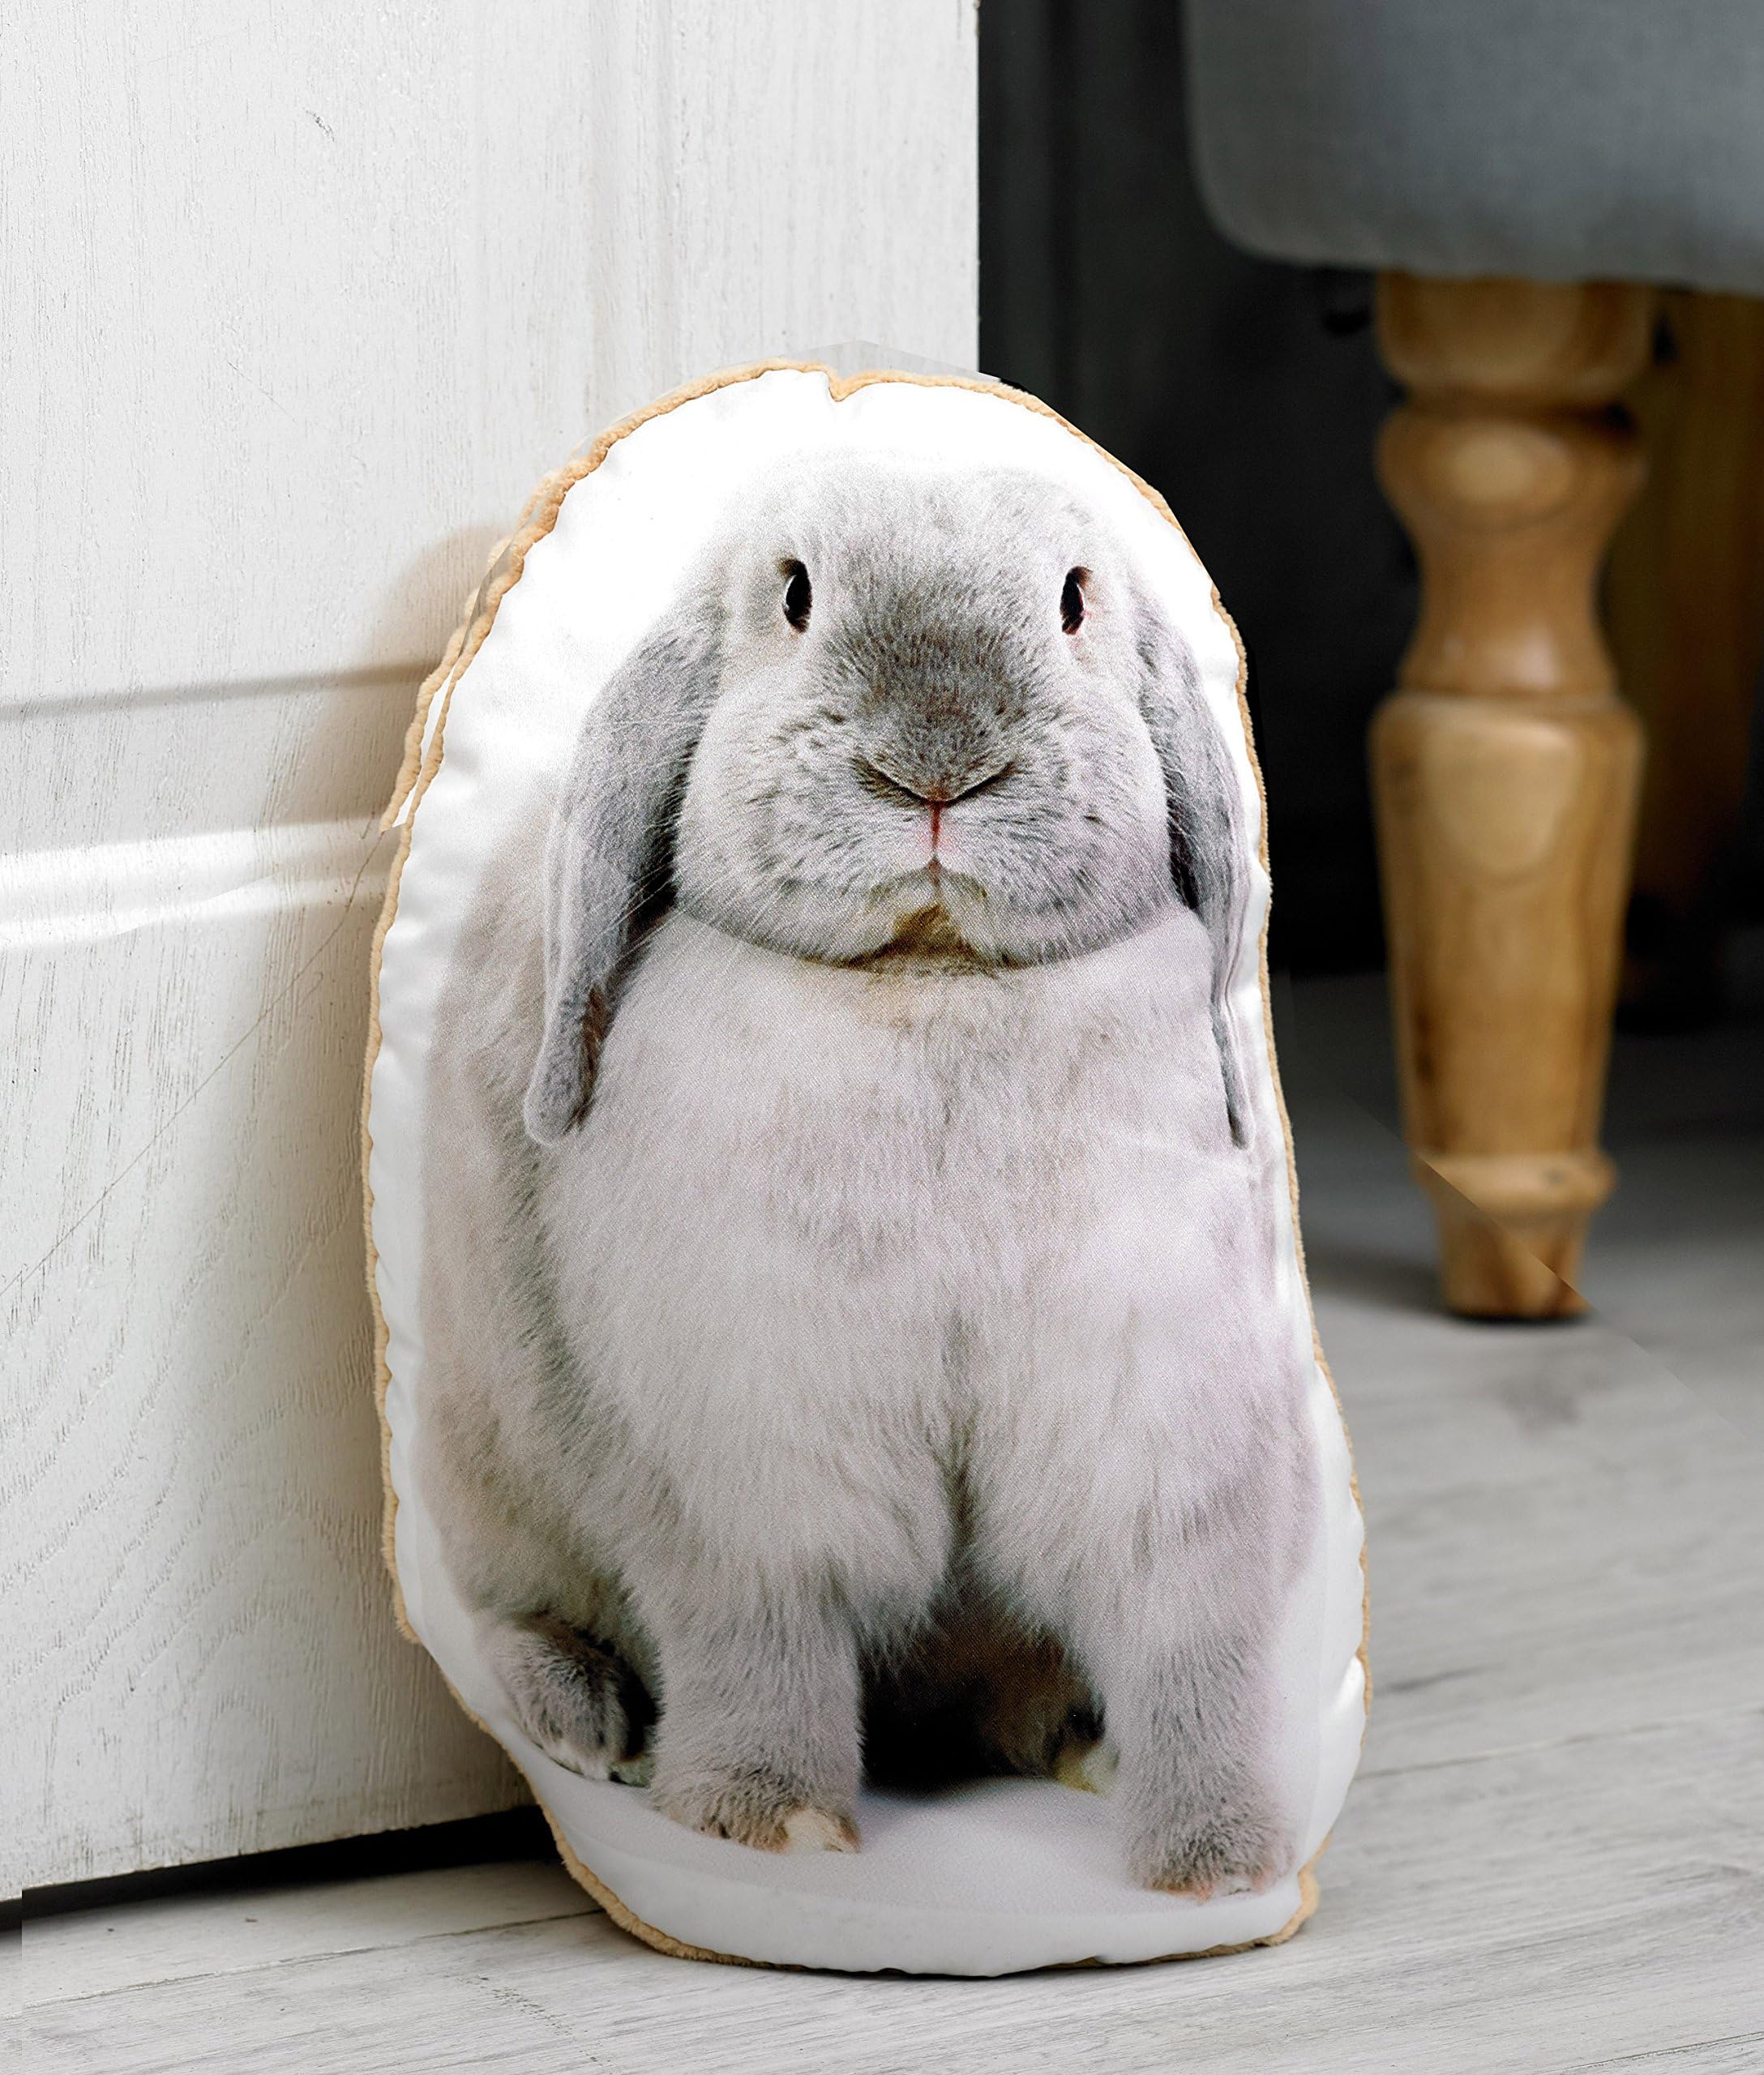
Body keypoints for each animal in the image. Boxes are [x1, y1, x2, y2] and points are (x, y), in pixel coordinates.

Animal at [417, 452, 1317, 1897]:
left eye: (1075, 600)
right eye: (793, 596)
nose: (936, 766)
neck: (933, 979)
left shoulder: (1165, 1417)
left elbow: (1193, 1640)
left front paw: (1220, 1863)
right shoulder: (746, 1449)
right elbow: (761, 1635)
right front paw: (767, 1824)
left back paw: (1079, 1736)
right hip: (488, 1473)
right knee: (518, 1610)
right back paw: (580, 1718)